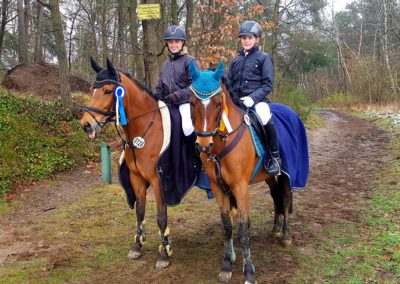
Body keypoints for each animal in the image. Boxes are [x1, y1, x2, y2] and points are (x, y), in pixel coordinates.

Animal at [80, 56, 173, 270]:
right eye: (91, 89)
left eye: (108, 91)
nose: (86, 124)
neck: (145, 131)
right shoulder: (136, 178)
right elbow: (139, 211)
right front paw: (137, 246)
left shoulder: (159, 181)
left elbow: (161, 217)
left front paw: (164, 255)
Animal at [188, 61, 310, 282]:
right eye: (192, 103)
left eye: (218, 103)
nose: (203, 145)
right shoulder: (218, 187)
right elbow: (227, 226)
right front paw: (226, 266)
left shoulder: (240, 187)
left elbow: (244, 229)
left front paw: (250, 273)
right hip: (269, 176)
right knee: (275, 197)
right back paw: (275, 229)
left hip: (286, 175)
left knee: (285, 198)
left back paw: (286, 236)